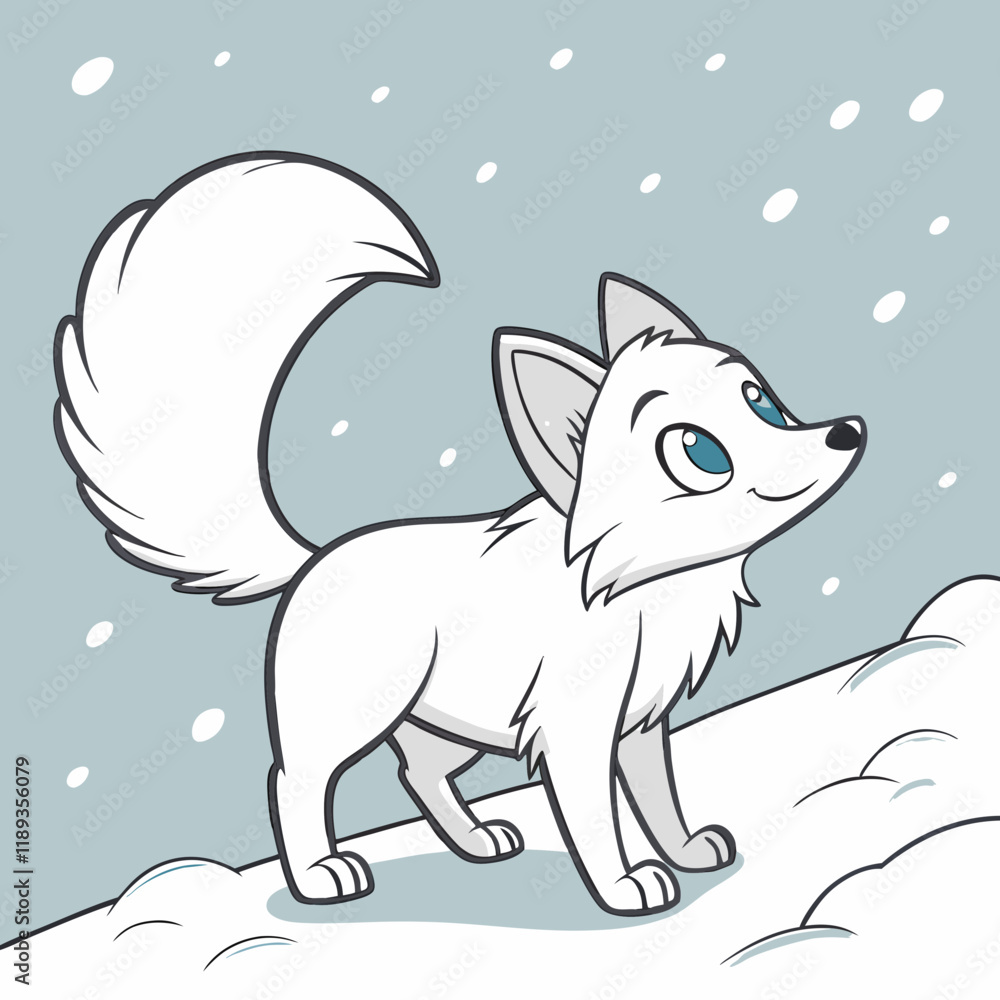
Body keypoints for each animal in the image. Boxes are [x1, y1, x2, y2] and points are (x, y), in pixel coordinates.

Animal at [55, 153, 865, 915]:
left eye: (761, 401)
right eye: (700, 452)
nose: (846, 434)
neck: (648, 592)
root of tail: (317, 559)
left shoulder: (640, 725)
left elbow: (657, 797)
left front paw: (685, 851)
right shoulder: (575, 732)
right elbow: (595, 820)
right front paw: (624, 885)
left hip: (453, 729)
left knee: (415, 773)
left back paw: (474, 841)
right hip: (350, 720)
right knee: (294, 780)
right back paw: (319, 875)